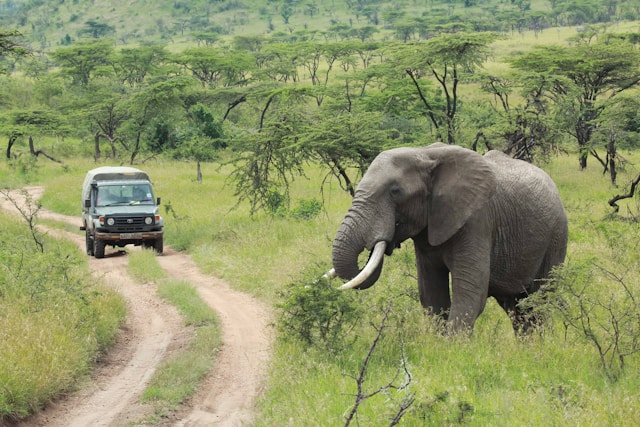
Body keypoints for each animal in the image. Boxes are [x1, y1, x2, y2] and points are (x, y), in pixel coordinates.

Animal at [326, 143, 568, 333]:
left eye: (395, 191)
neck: (423, 153)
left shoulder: (477, 220)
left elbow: (470, 292)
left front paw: (453, 350)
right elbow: (431, 293)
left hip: (556, 238)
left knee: (539, 301)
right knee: (516, 307)